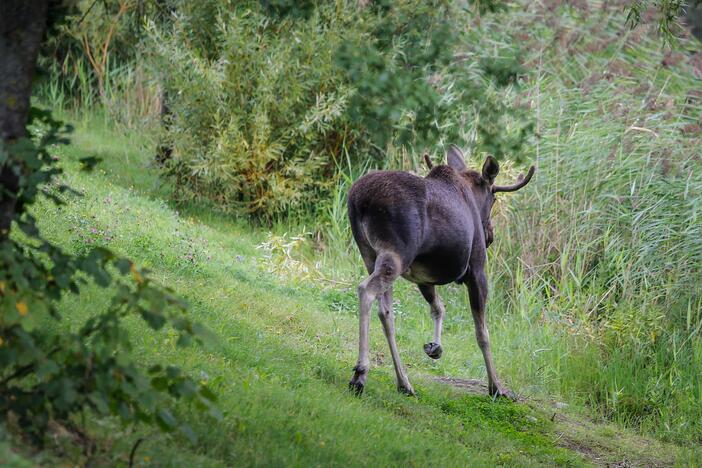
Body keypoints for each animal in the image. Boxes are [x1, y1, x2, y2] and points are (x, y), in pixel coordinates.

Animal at [350, 146, 536, 398]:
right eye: (494, 197)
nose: (490, 235)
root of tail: (359, 200)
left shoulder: (423, 278)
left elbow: (438, 308)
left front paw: (435, 347)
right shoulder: (477, 272)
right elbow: (482, 333)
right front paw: (496, 387)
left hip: (370, 254)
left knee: (386, 311)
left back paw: (404, 382)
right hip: (396, 254)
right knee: (366, 291)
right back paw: (360, 373)